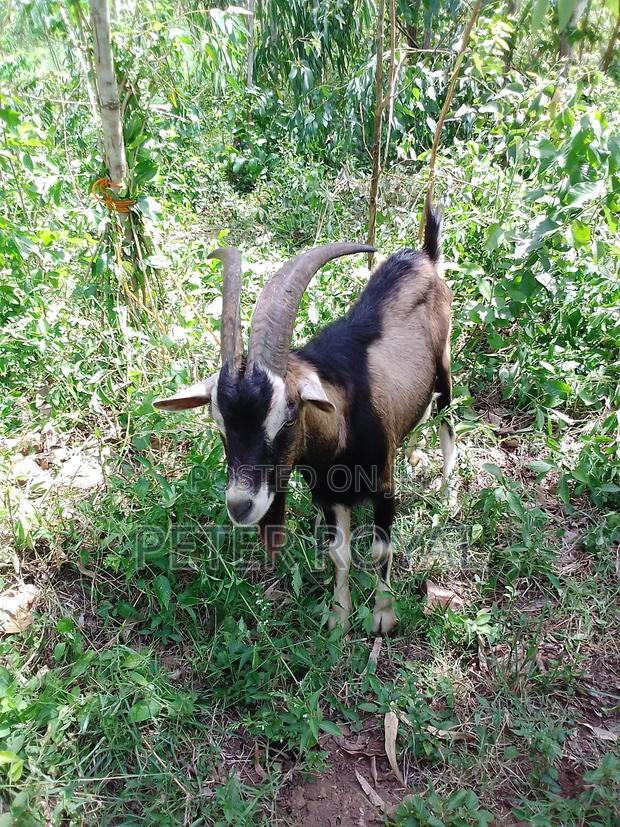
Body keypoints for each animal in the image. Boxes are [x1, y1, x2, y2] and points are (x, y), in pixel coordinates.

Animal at [154, 204, 455, 634]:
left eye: (289, 416)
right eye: (220, 425)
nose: (240, 506)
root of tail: (425, 256)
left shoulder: (383, 487)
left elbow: (381, 551)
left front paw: (383, 615)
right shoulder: (326, 496)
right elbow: (339, 554)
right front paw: (339, 616)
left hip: (445, 364)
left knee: (447, 420)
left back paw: (448, 494)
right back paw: (413, 452)